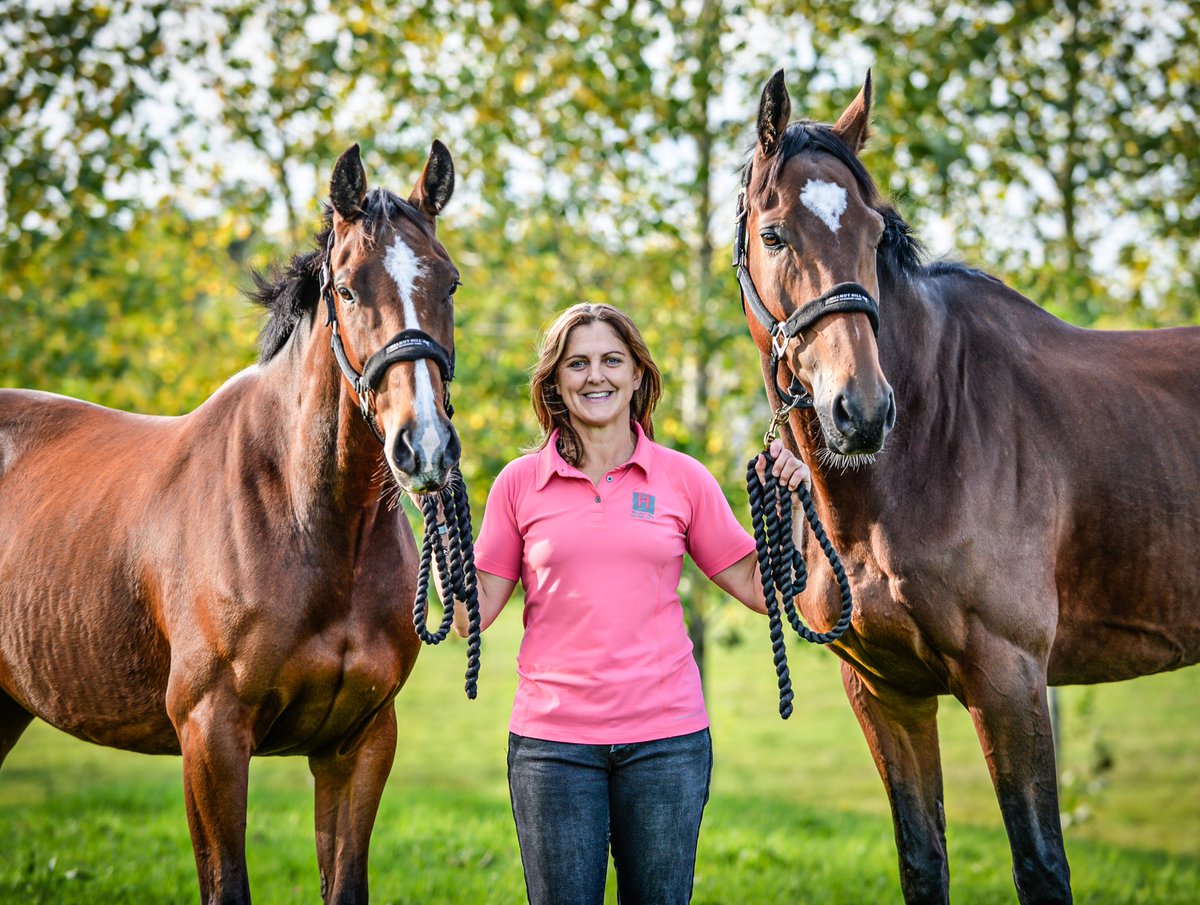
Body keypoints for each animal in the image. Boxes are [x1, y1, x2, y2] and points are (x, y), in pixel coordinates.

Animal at [0, 142, 461, 904]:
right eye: (347, 289)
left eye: (449, 283)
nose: (424, 446)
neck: (308, 523)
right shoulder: (211, 735)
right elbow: (226, 884)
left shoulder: (358, 742)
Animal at [736, 69, 1200, 904]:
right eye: (776, 233)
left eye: (874, 234)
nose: (862, 411)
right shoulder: (885, 691)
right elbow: (923, 859)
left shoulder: (1010, 679)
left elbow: (1040, 863)